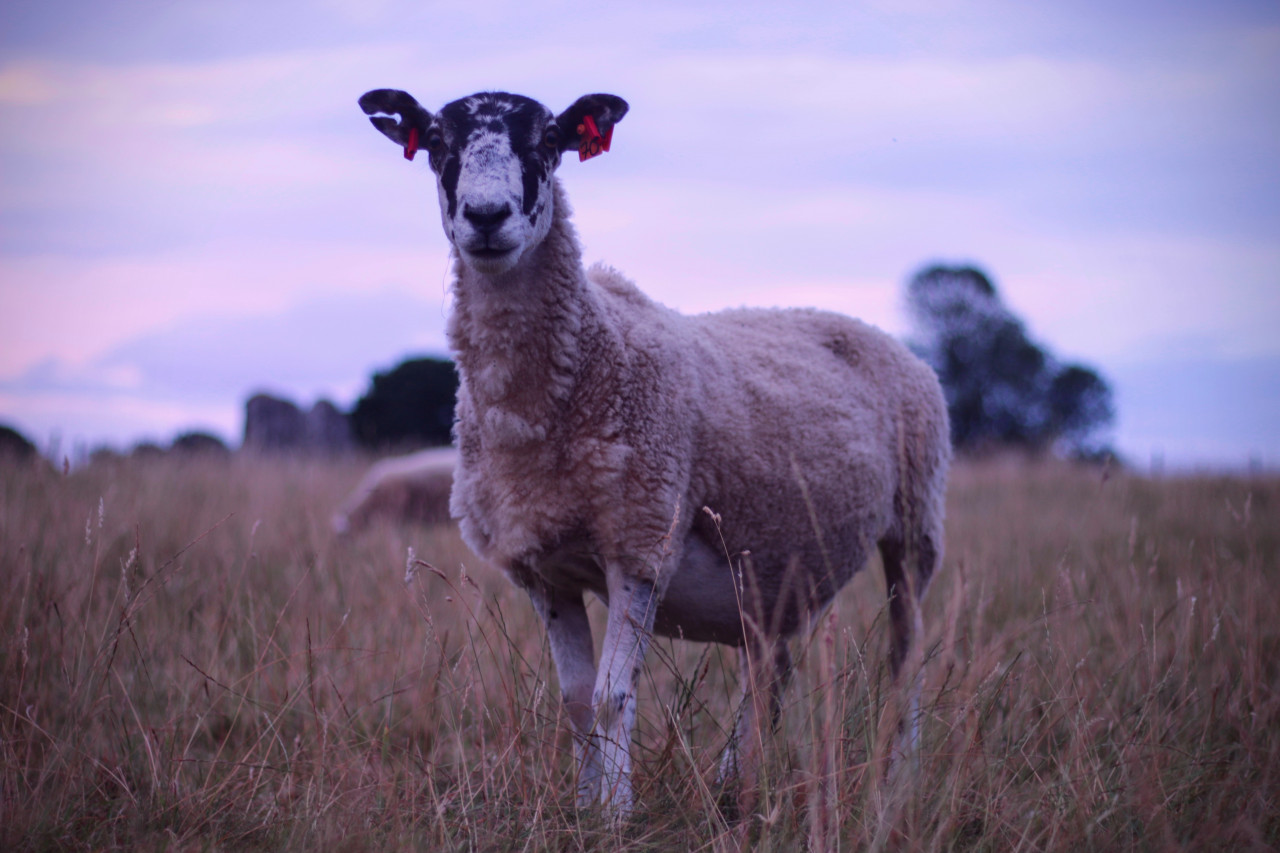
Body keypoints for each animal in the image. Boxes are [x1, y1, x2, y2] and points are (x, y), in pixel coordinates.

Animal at [358, 88, 951, 817]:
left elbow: (613, 696)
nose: (487, 216)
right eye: (438, 143)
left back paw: (898, 780)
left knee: (905, 657)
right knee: (771, 672)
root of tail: (872, 329)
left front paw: (616, 814)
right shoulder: (543, 567)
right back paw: (735, 785)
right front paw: (584, 809)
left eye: (546, 142)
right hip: (776, 562)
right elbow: (576, 700)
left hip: (916, 524)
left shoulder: (640, 541)